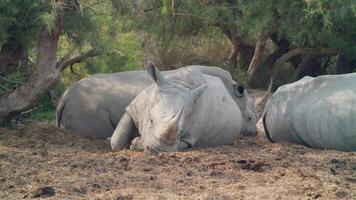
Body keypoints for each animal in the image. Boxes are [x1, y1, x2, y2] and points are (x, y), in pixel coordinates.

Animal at [110, 63, 254, 152]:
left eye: (181, 131)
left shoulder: (189, 138)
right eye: (150, 120)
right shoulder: (133, 108)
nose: (159, 150)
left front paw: (136, 143)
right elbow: (116, 141)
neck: (178, 84)